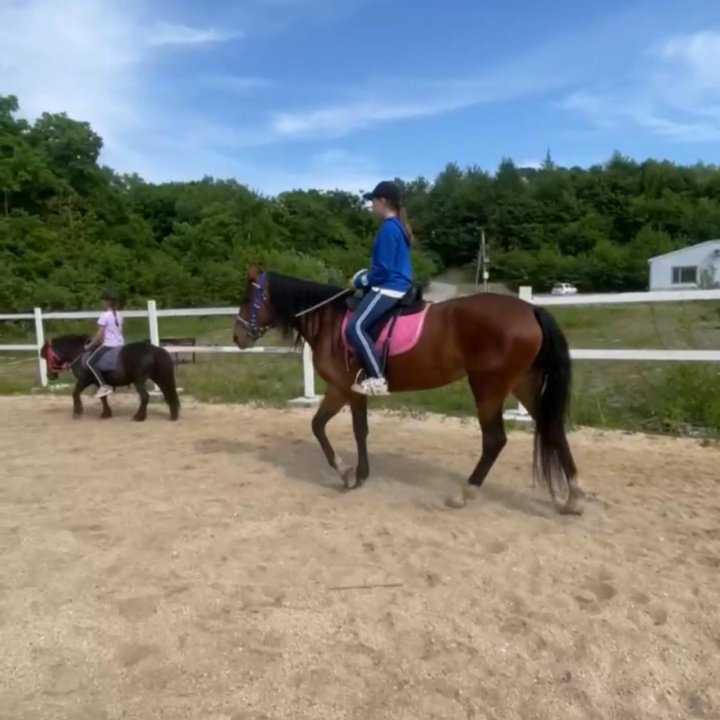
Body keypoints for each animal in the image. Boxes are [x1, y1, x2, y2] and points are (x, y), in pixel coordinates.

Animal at [41, 336, 181, 422]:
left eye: (47, 357)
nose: (50, 376)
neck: (80, 354)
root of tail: (153, 349)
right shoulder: (99, 383)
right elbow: (103, 397)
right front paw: (106, 414)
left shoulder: (84, 380)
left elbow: (75, 393)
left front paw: (77, 412)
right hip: (158, 377)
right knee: (168, 393)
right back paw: (173, 415)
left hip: (139, 380)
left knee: (145, 396)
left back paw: (139, 417)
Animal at [233, 268, 584, 516]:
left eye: (248, 299)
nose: (237, 336)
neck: (330, 322)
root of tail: (529, 310)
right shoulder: (341, 389)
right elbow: (325, 426)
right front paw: (354, 474)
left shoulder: (347, 388)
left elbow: (347, 429)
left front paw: (350, 474)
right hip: (523, 384)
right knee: (552, 428)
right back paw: (574, 498)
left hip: (488, 387)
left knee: (495, 440)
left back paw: (464, 493)